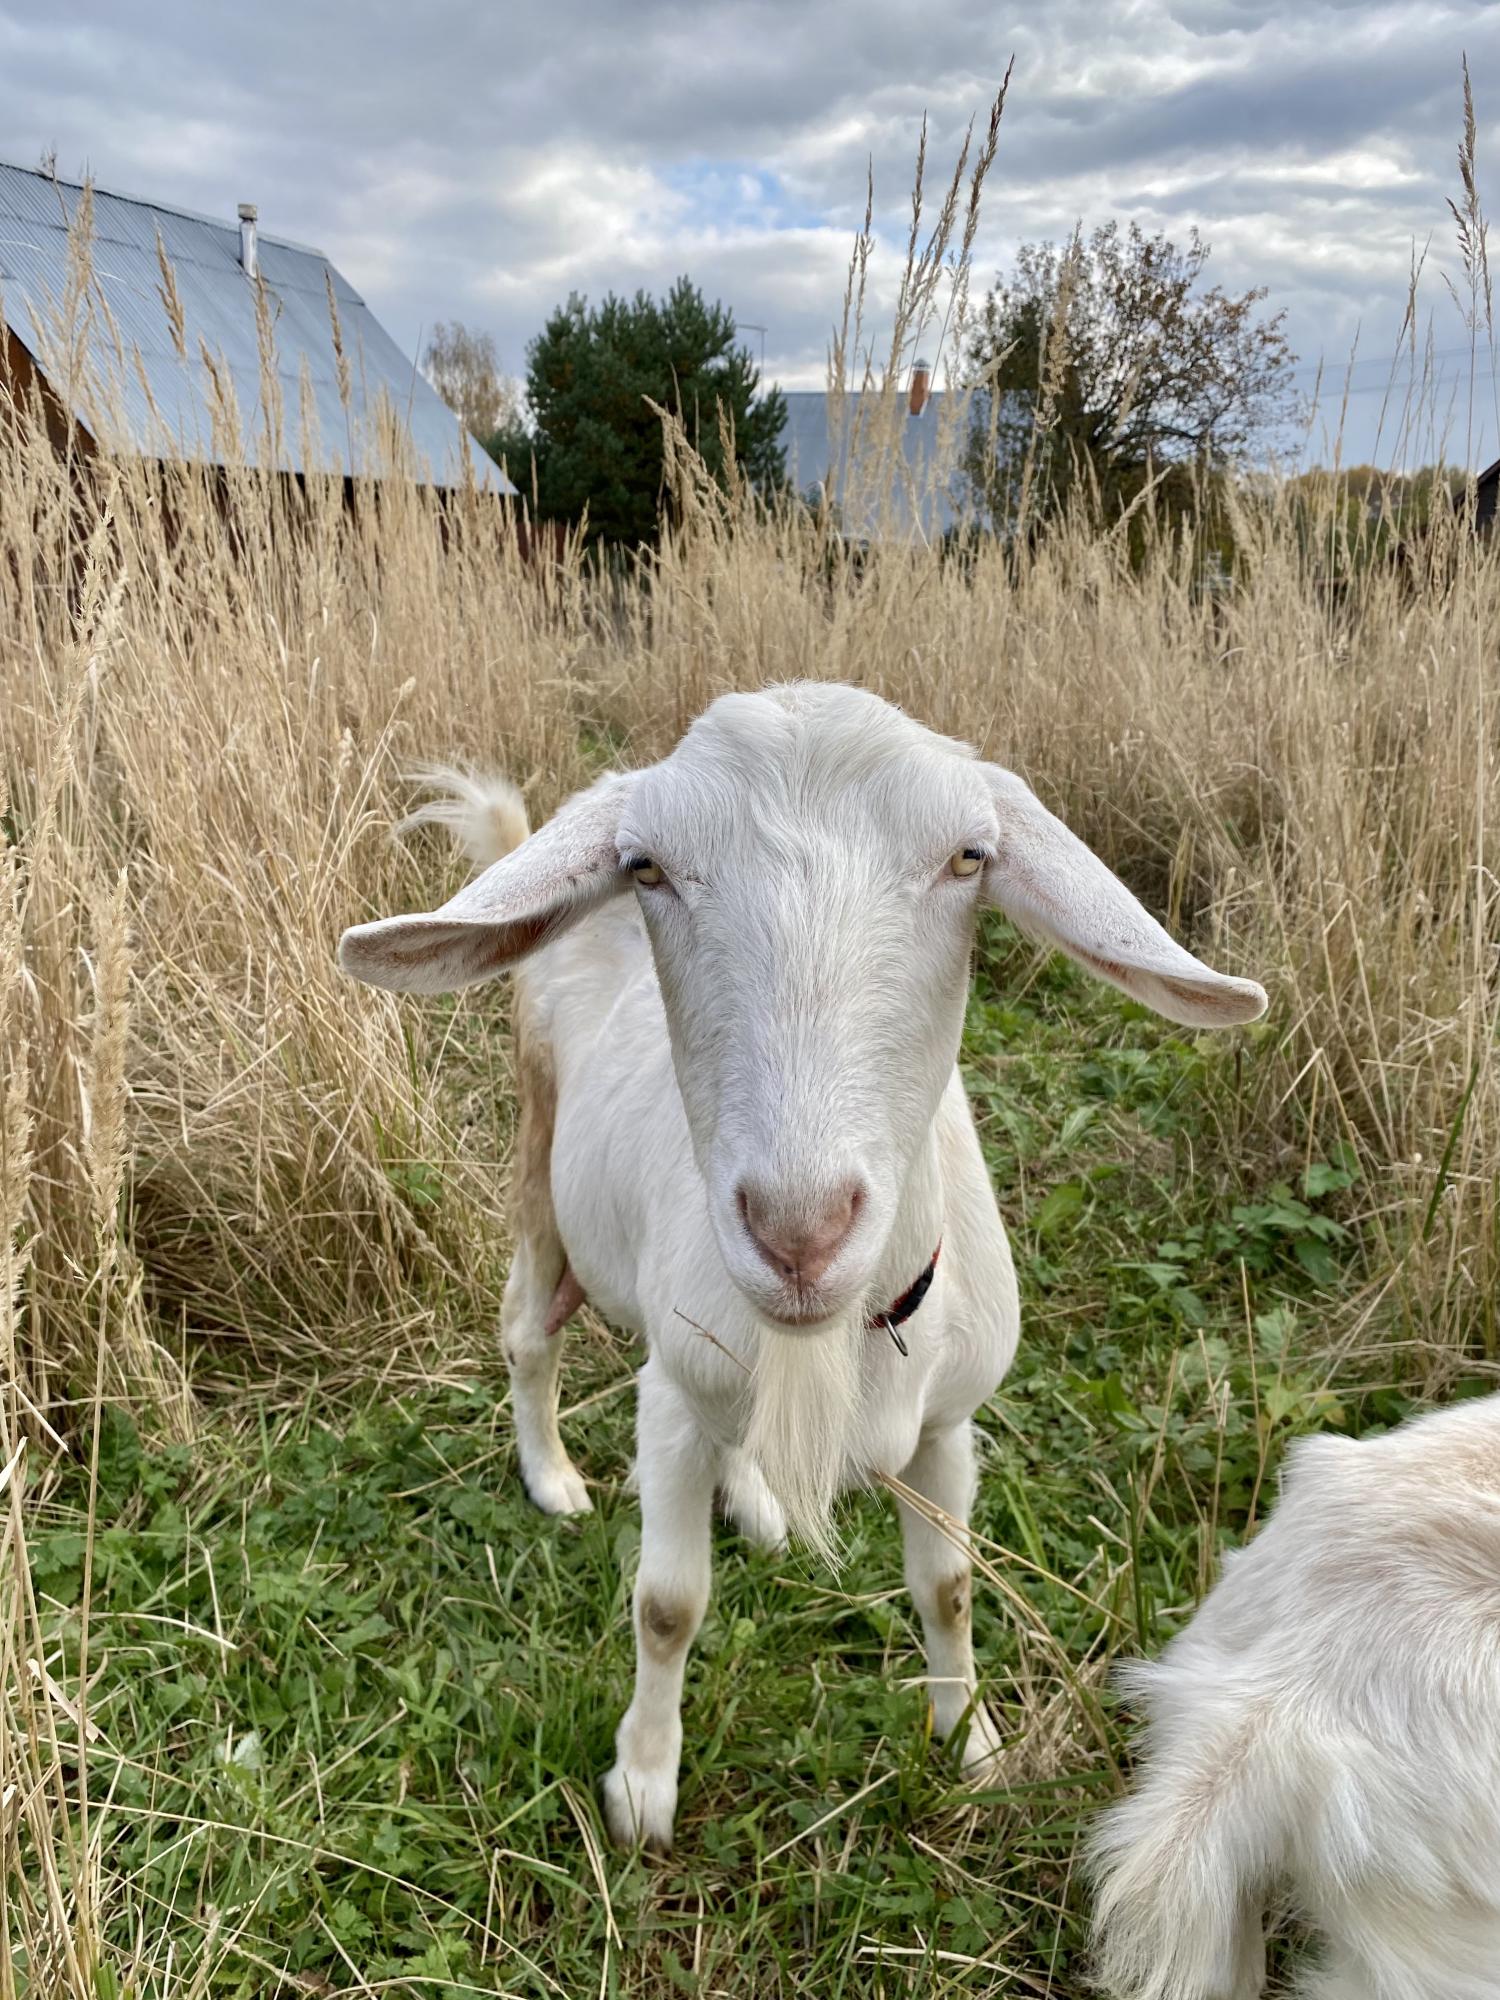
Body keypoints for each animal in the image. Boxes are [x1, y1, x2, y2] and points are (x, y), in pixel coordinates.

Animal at [340, 684, 1272, 1840]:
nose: (800, 1230)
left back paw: (758, 1503)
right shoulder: (670, 1399)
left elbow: (949, 1586)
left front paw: (969, 1746)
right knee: (526, 1332)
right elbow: (667, 1604)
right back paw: (552, 1476)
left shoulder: (948, 1425)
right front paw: (641, 1787)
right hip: (541, 1155)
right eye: (646, 866)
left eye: (969, 857)